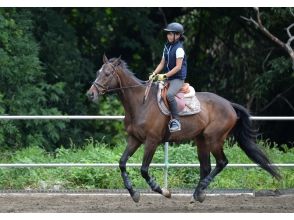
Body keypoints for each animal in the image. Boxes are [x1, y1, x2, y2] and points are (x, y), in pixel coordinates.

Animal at [86, 55, 282, 203]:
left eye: (107, 74)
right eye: (98, 72)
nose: (90, 94)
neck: (140, 103)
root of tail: (229, 105)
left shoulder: (152, 141)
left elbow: (143, 169)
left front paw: (163, 191)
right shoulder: (135, 139)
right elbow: (122, 163)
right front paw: (134, 194)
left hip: (214, 139)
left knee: (221, 162)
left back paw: (200, 191)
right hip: (201, 140)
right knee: (206, 167)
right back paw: (197, 194)